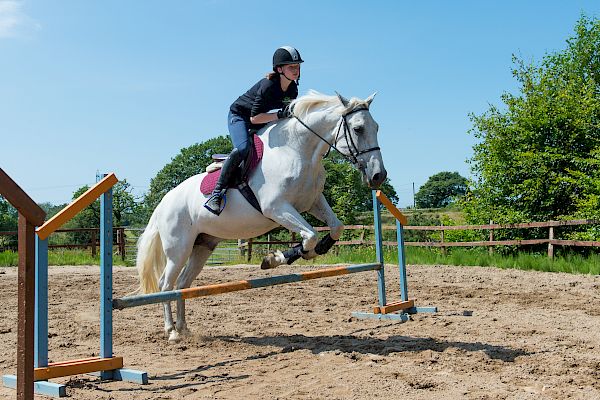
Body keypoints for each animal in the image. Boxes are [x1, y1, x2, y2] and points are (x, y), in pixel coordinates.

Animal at [137, 90, 384, 340]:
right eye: (358, 129)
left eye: (376, 127)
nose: (378, 176)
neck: (298, 150)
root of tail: (163, 203)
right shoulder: (276, 208)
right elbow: (310, 235)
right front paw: (276, 258)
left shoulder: (313, 202)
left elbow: (335, 228)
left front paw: (305, 253)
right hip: (179, 248)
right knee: (166, 284)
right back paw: (171, 331)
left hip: (203, 245)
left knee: (182, 284)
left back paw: (183, 327)